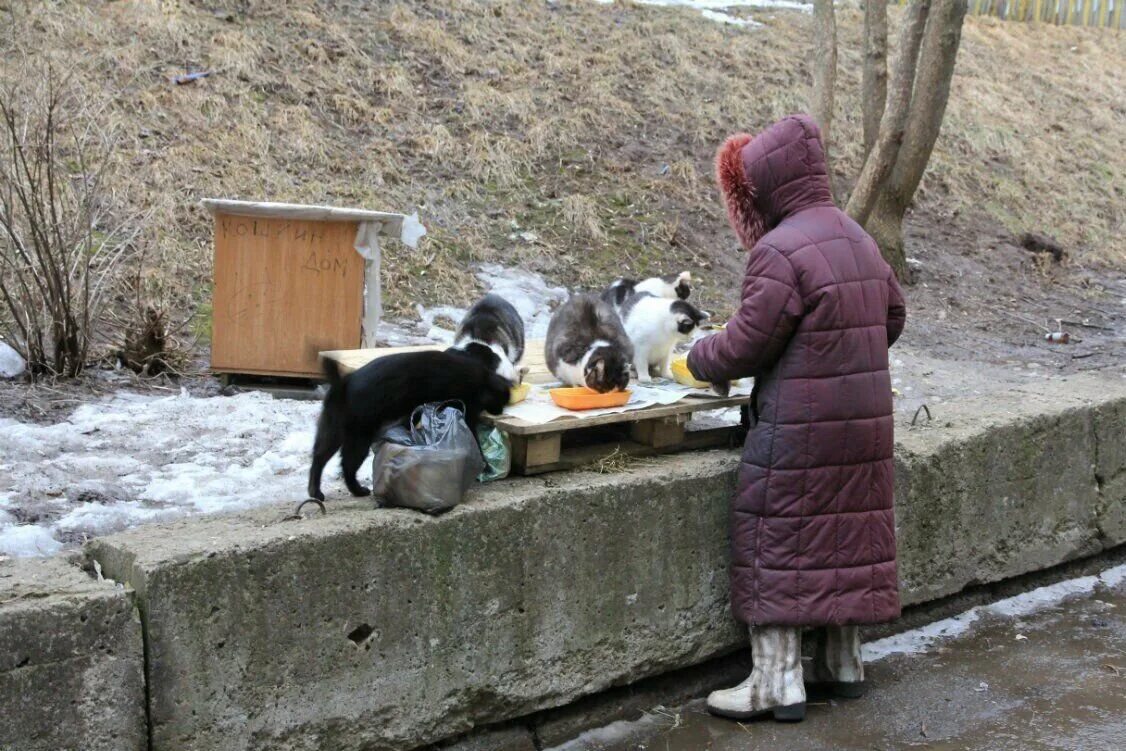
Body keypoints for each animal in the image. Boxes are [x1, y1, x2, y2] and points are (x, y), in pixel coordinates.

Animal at [304, 353, 506, 504]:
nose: (501, 411)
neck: (481, 378)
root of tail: (343, 383)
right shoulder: (467, 409)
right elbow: (475, 439)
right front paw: (485, 464)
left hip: (332, 430)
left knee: (319, 457)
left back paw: (315, 491)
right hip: (359, 437)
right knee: (347, 464)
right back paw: (357, 490)